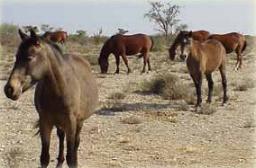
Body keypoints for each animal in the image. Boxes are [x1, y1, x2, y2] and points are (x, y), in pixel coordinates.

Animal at [4, 28, 98, 167]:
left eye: (29, 57)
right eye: (16, 57)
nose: (9, 89)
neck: (59, 89)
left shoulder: (71, 123)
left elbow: (71, 157)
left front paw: (73, 160)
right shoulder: (45, 122)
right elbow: (44, 157)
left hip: (79, 122)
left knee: (76, 142)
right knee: (61, 136)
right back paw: (59, 162)